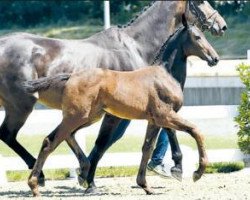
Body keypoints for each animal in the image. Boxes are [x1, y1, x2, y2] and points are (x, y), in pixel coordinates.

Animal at [24, 65, 207, 195]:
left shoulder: (155, 121)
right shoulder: (165, 116)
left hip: (89, 117)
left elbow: (147, 148)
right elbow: (196, 131)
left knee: (68, 136)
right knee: (51, 142)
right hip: (76, 117)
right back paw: (35, 186)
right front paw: (197, 172)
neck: (163, 76)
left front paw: (146, 186)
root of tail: (71, 76)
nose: (212, 58)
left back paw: (84, 171)